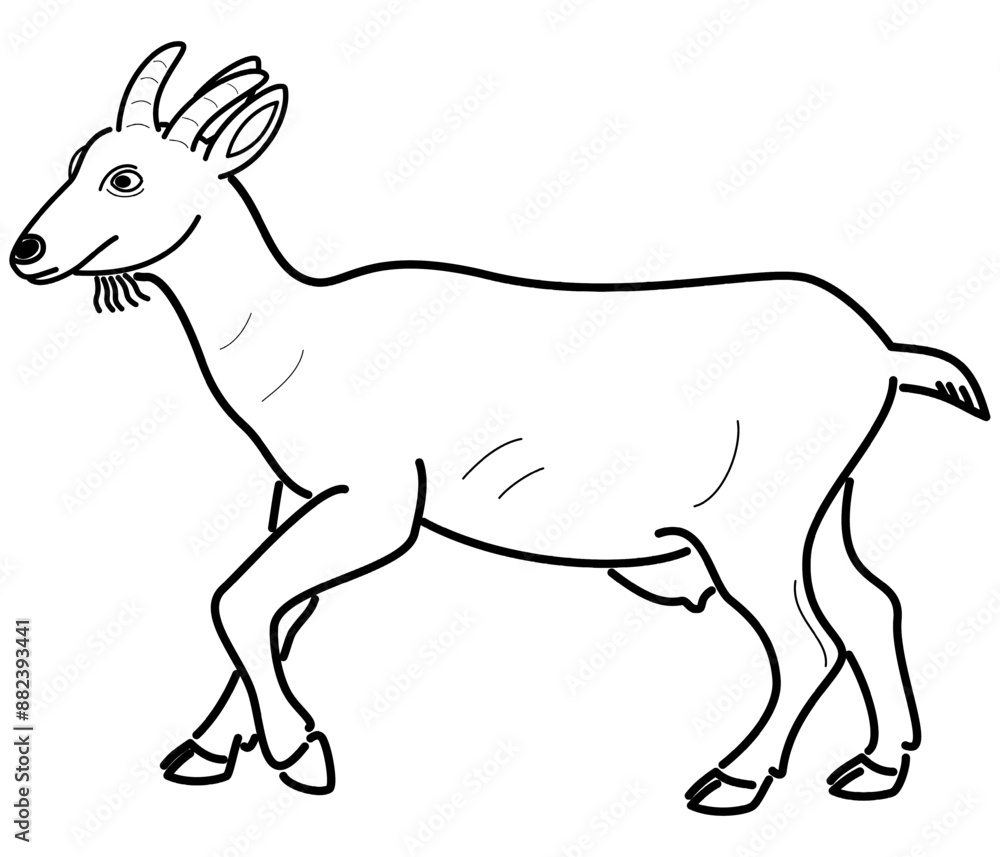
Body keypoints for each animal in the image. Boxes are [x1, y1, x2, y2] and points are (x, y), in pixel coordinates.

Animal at [9, 42, 989, 813]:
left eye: (125, 177)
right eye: (78, 157)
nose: (27, 252)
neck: (293, 334)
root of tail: (884, 354)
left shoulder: (379, 499)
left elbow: (240, 597)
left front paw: (300, 753)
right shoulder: (303, 492)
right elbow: (272, 608)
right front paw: (208, 749)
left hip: (756, 521)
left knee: (806, 639)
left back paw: (734, 779)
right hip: (826, 506)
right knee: (871, 604)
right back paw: (877, 767)